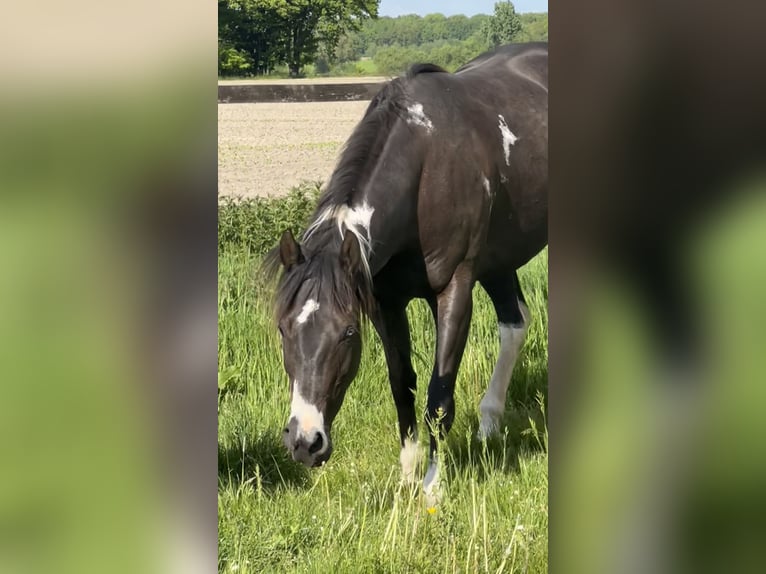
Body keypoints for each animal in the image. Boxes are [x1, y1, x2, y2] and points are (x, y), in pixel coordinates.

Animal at [266, 43, 548, 498]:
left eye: (348, 332)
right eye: (283, 328)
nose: (305, 442)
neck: (425, 167)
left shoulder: (454, 289)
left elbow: (439, 394)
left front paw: (433, 485)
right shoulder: (386, 301)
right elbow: (403, 384)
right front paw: (408, 472)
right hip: (498, 258)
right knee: (515, 321)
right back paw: (489, 424)